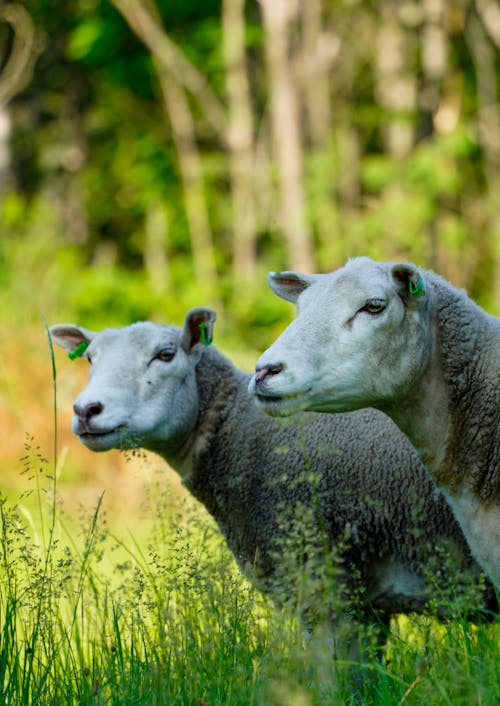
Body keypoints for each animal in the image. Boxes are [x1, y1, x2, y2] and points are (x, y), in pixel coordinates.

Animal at [48, 308, 494, 640]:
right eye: (90, 358)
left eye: (165, 354)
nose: (86, 410)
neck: (242, 434)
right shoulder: (367, 603)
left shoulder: (323, 585)